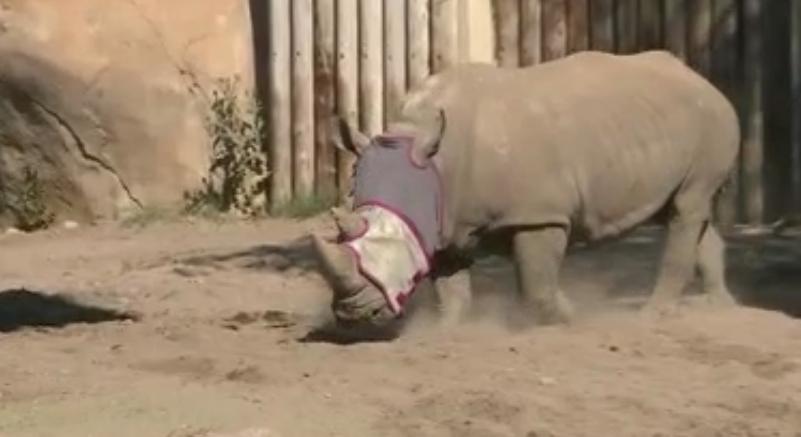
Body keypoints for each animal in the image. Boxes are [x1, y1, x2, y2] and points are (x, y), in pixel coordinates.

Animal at [312, 50, 740, 330]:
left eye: (393, 251)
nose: (352, 316)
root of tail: (704, 80)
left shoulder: (538, 213)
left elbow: (536, 281)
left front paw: (568, 316)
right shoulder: (446, 220)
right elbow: (450, 285)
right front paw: (447, 330)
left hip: (712, 118)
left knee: (687, 207)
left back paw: (652, 315)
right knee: (688, 210)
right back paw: (721, 307)